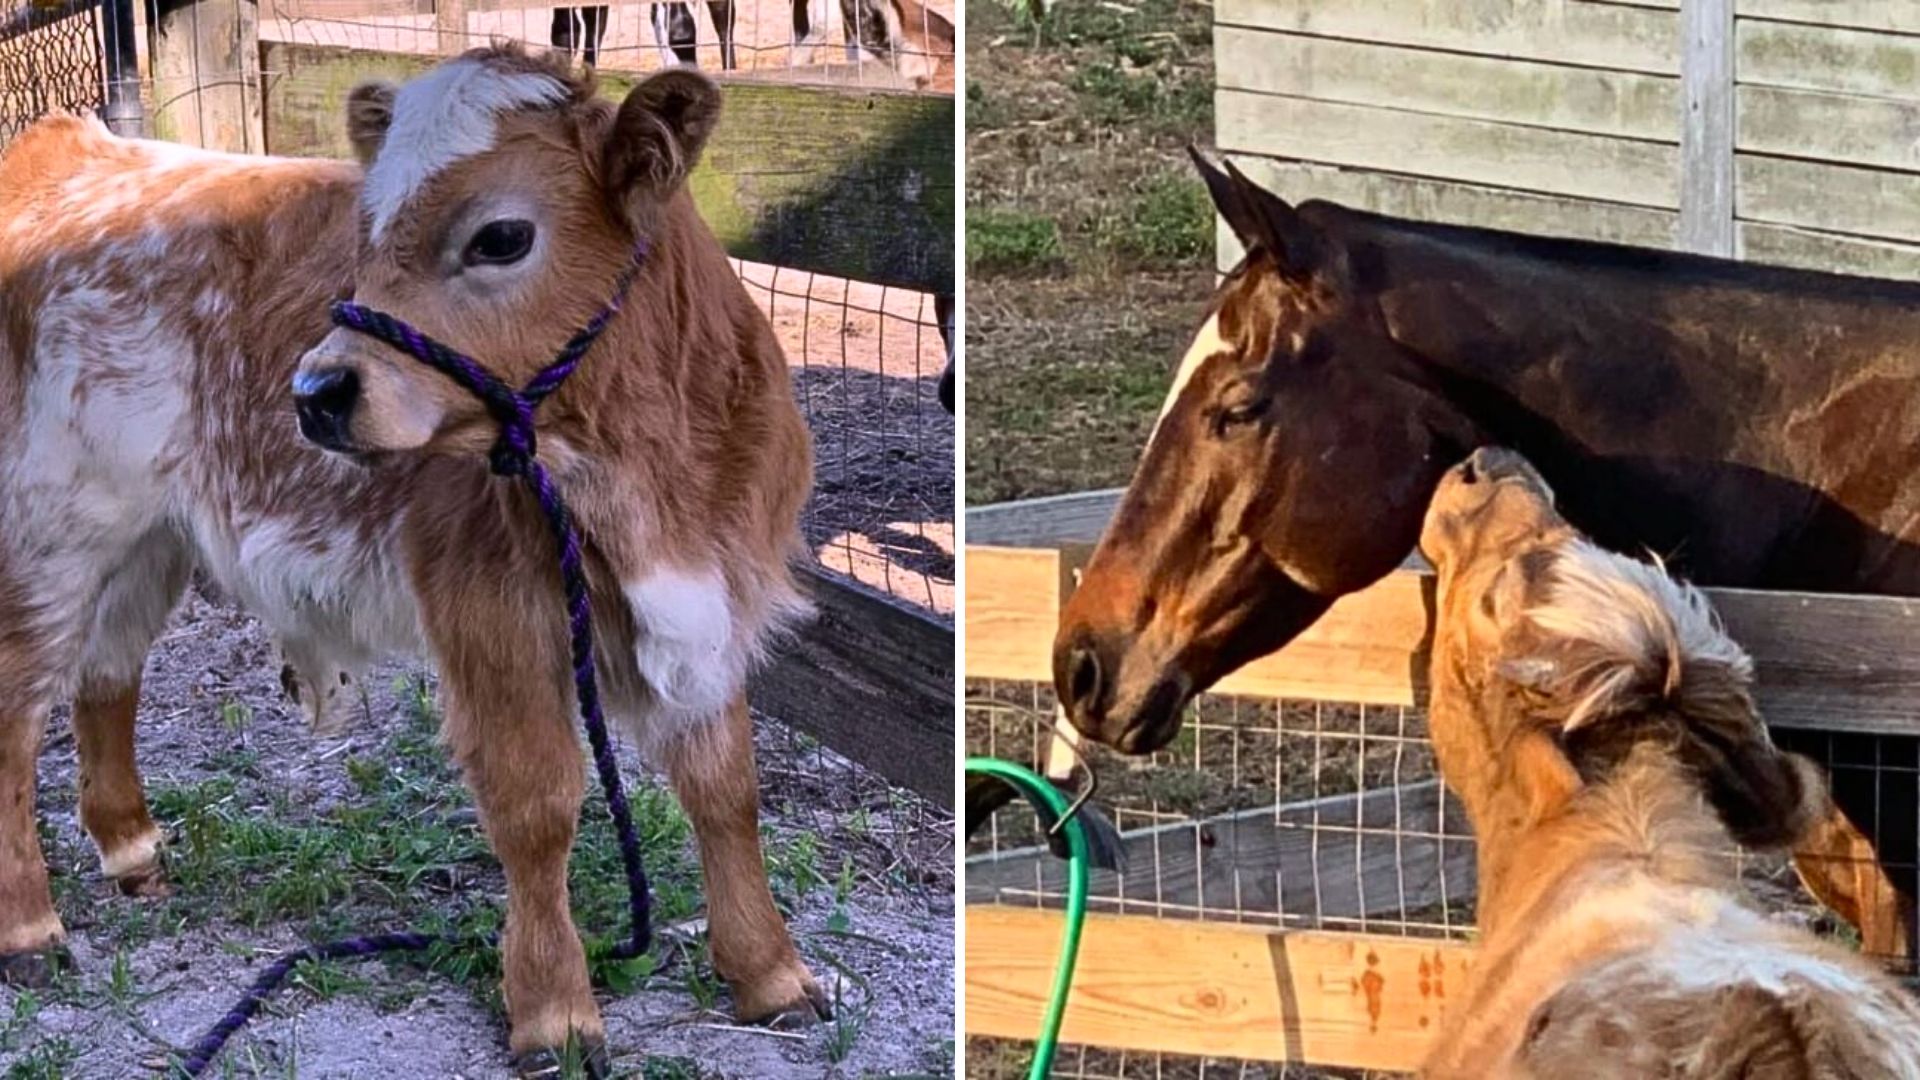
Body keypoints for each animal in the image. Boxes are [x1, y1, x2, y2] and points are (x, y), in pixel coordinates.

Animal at [0, 44, 825, 1068]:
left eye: (502, 236)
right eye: (367, 230)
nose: (314, 391)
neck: (647, 480)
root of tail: (67, 145)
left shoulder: (716, 602)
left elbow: (726, 791)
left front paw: (769, 973)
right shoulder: (492, 613)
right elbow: (537, 804)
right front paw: (554, 1011)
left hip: (147, 534)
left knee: (107, 669)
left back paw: (132, 850)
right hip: (52, 525)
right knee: (16, 708)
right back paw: (29, 928)